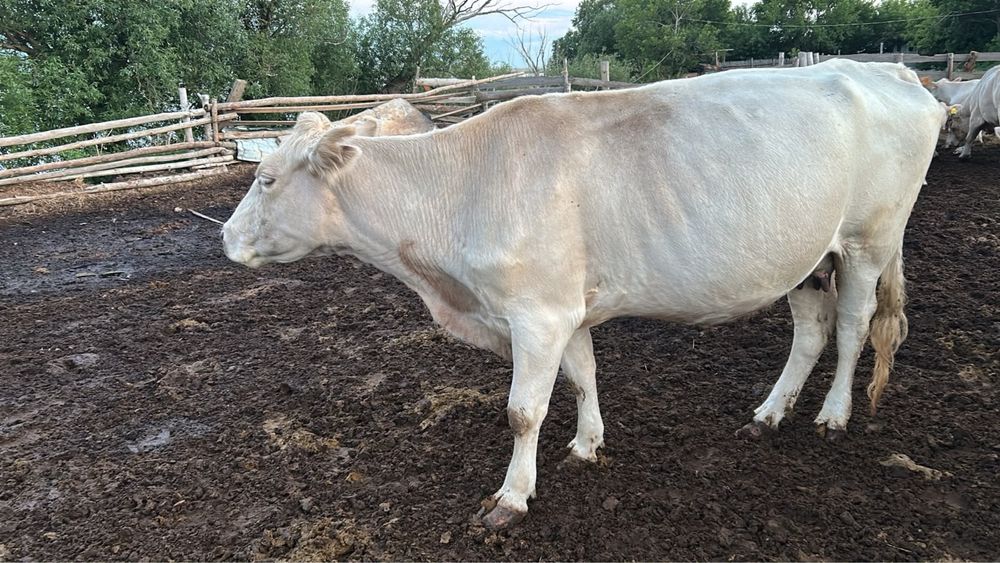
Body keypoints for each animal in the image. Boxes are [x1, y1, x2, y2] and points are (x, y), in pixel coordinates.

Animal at [222, 59, 944, 529]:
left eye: (265, 177)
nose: (225, 236)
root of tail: (893, 73)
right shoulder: (565, 308)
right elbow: (582, 377)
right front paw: (587, 444)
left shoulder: (536, 314)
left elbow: (523, 411)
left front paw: (511, 498)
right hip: (808, 257)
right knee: (812, 329)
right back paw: (769, 413)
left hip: (869, 241)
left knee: (852, 327)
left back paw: (833, 414)